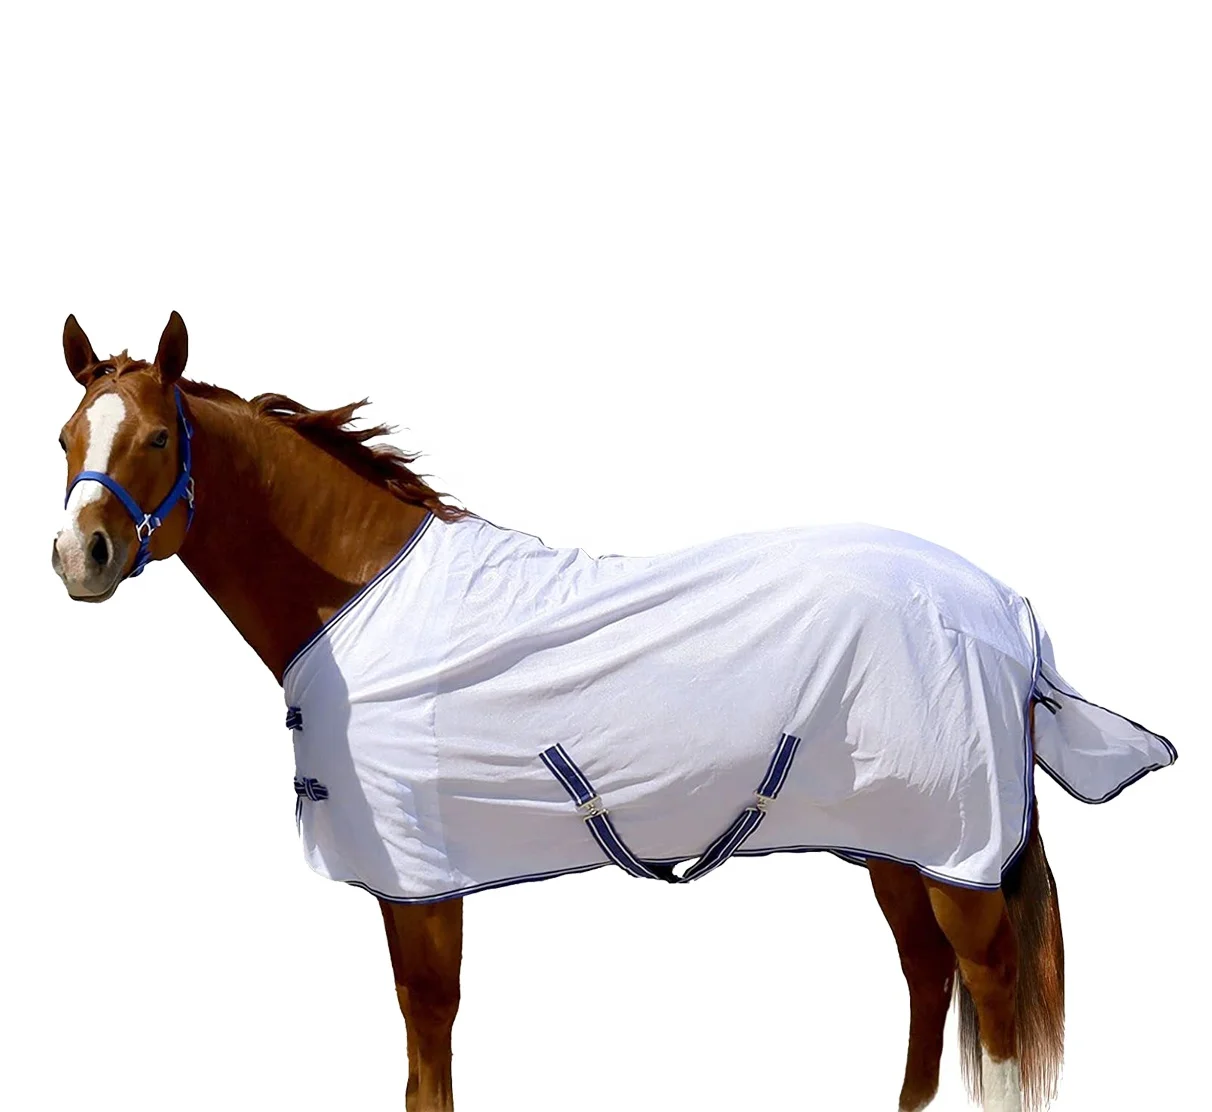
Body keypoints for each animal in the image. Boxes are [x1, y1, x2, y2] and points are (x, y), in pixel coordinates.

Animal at [52, 312, 1175, 1112]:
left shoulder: (420, 882)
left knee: (988, 995)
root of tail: (1004, 609)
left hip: (958, 855)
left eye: (157, 436)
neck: (367, 597)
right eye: (65, 435)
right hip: (898, 841)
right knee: (925, 978)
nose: (79, 556)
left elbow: (428, 1051)